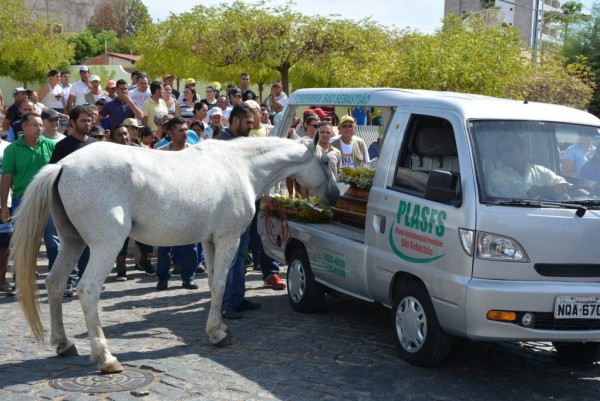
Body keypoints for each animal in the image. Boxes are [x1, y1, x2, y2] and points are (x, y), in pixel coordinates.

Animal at [11, 134, 338, 372]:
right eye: (325, 161)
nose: (335, 195)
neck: (239, 167)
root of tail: (63, 166)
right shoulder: (228, 239)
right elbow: (221, 284)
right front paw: (218, 334)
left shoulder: (209, 241)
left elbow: (213, 284)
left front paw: (218, 327)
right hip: (106, 246)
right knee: (87, 290)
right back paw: (105, 357)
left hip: (72, 242)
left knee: (54, 284)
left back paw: (63, 344)